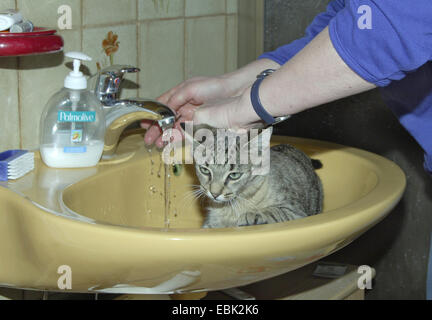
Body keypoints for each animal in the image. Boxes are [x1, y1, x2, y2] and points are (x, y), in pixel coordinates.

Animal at [181, 123, 322, 228]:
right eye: (204, 170)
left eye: (234, 175)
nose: (214, 194)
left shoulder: (296, 212)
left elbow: (276, 211)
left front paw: (254, 215)